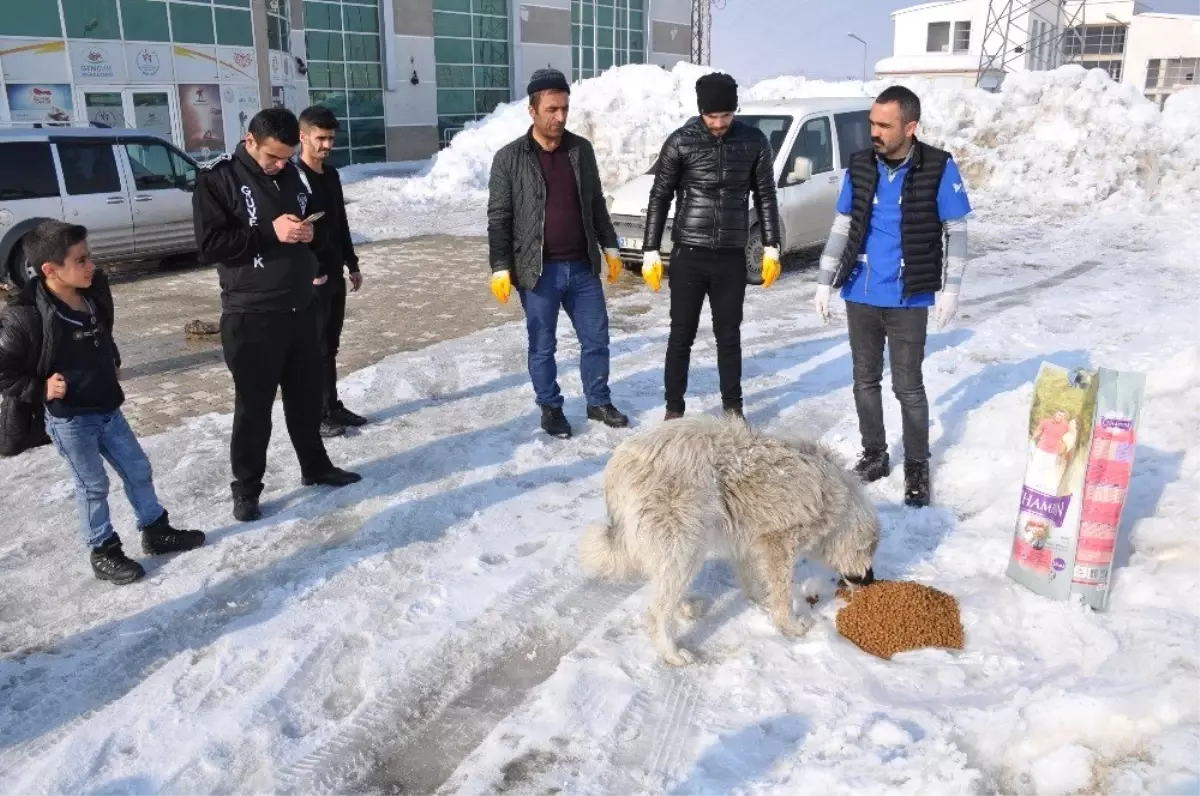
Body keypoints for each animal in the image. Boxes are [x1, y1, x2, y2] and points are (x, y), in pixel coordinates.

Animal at [576, 413, 878, 667]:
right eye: (869, 552)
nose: (871, 580)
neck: (835, 498)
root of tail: (617, 464)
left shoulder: (751, 540)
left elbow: (754, 578)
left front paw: (760, 600)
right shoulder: (779, 544)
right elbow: (782, 594)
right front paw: (789, 625)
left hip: (677, 548)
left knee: (662, 585)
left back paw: (685, 607)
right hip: (686, 544)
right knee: (656, 611)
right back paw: (672, 654)